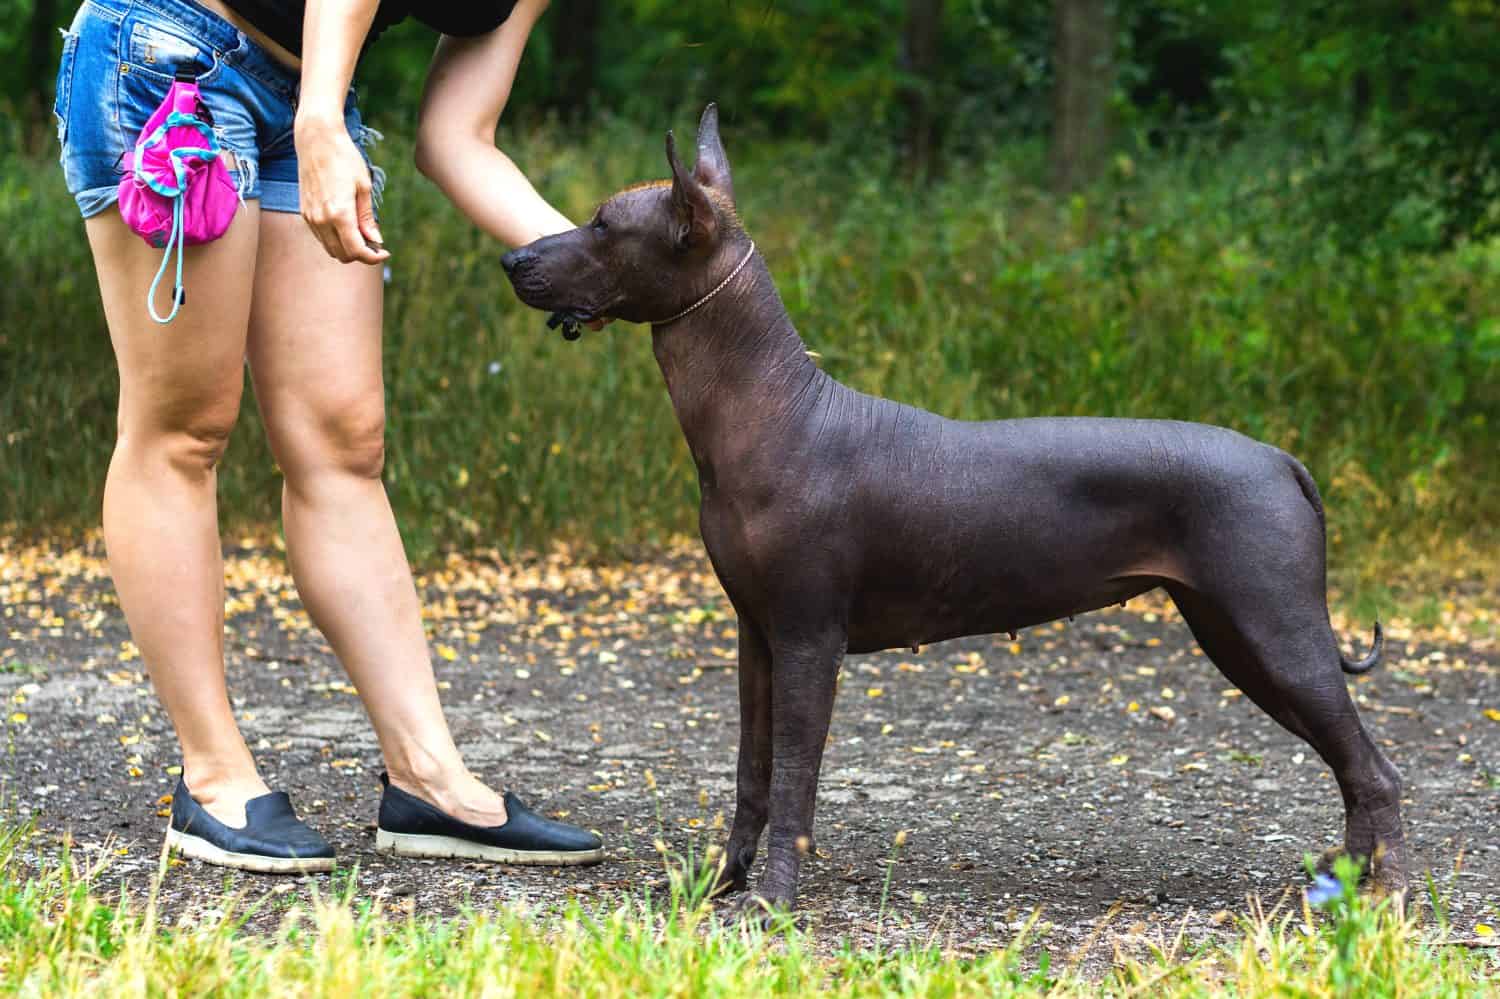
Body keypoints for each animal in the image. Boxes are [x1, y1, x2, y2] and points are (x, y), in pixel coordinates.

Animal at [501, 107, 1404, 912]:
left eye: (603, 224)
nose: (512, 257)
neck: (774, 409)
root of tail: (1281, 459)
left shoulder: (808, 640)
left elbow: (794, 780)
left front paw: (774, 902)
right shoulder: (756, 637)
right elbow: (752, 776)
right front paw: (720, 885)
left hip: (1275, 631)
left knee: (1376, 772)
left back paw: (1376, 901)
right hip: (1235, 635)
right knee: (1354, 769)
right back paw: (1344, 884)